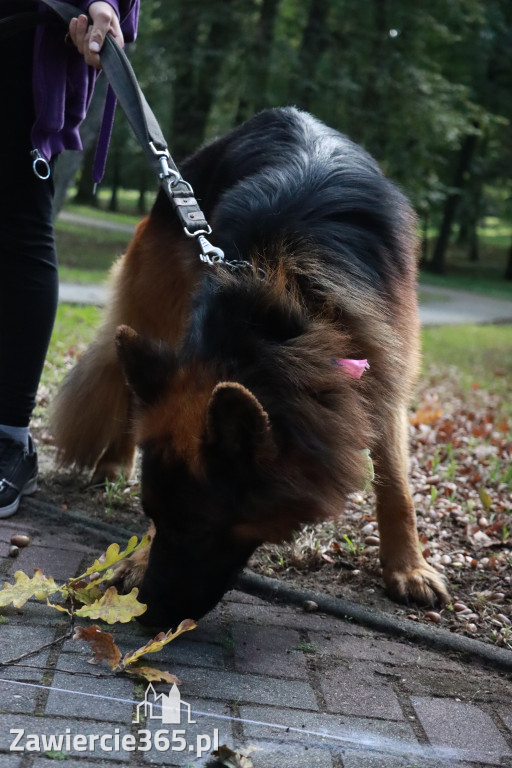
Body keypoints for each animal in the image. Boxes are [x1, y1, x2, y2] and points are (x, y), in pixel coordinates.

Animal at [53, 106, 448, 624]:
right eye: (152, 515)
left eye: (197, 529)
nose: (147, 613)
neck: (283, 316)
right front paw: (137, 559)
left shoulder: (382, 372)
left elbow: (397, 485)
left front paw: (407, 567)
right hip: (155, 311)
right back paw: (114, 462)